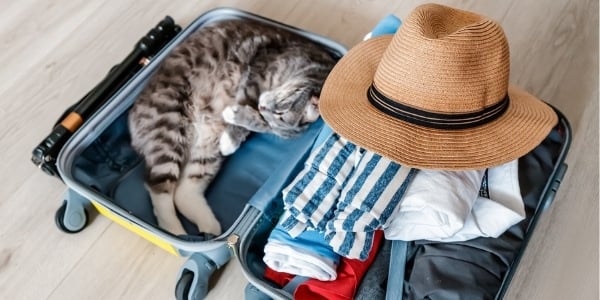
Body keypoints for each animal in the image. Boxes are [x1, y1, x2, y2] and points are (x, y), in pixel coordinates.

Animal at [128, 18, 336, 237]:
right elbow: (245, 101)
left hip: (206, 151)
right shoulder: (258, 74)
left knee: (184, 192)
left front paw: (233, 131)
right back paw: (175, 231)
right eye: (278, 112)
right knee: (159, 189)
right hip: (169, 126)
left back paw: (209, 227)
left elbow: (244, 125)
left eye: (271, 119)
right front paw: (233, 122)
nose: (261, 108)